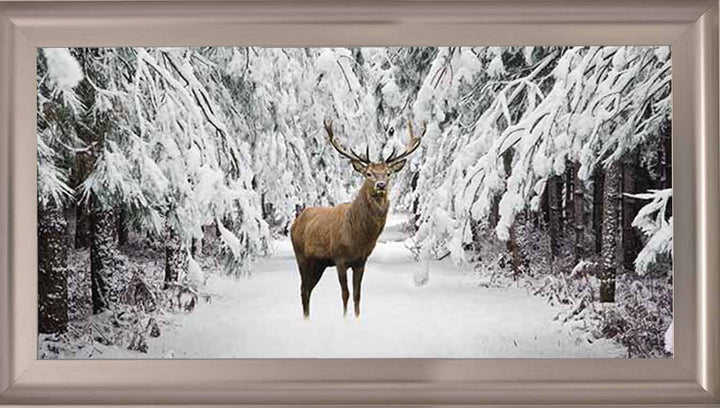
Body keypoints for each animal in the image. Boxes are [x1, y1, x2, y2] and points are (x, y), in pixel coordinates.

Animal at [290, 119, 425, 319]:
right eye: (368, 173)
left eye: (388, 173)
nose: (381, 185)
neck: (358, 237)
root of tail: (296, 221)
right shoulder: (339, 258)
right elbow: (345, 294)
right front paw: (345, 319)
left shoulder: (361, 261)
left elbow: (357, 294)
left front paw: (357, 318)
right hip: (301, 256)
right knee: (303, 289)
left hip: (319, 263)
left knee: (308, 289)